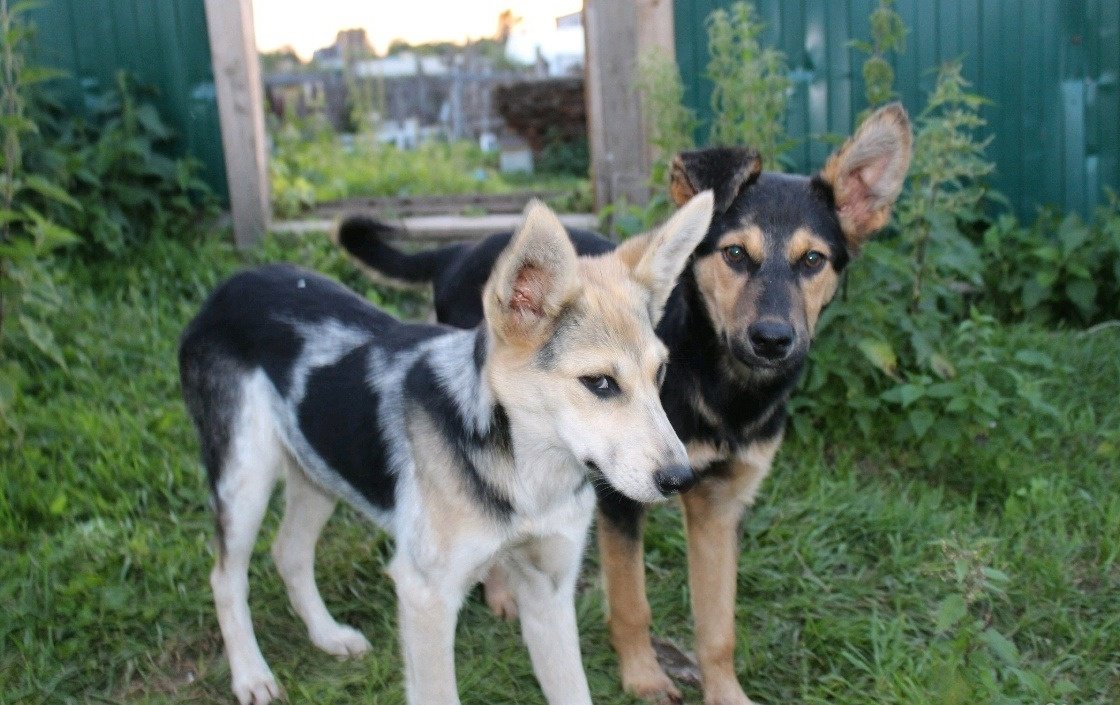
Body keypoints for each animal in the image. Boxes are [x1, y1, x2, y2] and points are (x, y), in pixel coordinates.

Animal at [179, 193, 712, 703]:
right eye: (599, 382)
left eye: (661, 373)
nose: (682, 479)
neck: (522, 475)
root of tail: (233, 283)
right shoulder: (425, 595)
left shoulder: (549, 593)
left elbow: (572, 691)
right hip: (245, 480)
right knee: (225, 578)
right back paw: (251, 675)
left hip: (320, 467)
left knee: (288, 551)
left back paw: (328, 635)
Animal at [333, 104, 909, 703]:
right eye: (734, 254)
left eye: (813, 261)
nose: (772, 340)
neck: (720, 386)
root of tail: (462, 247)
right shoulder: (619, 499)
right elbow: (632, 603)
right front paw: (644, 678)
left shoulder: (720, 504)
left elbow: (718, 626)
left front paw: (724, 691)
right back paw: (501, 589)